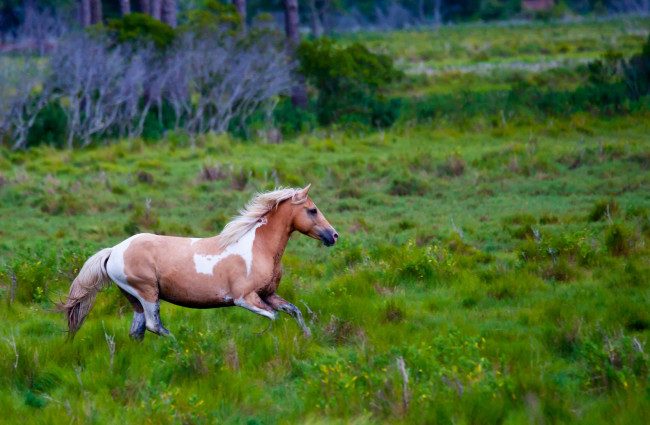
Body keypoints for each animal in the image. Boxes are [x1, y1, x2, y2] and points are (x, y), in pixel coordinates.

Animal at [62, 184, 336, 340]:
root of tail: (114, 251)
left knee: (137, 331)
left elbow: (295, 311)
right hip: (147, 292)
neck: (258, 247)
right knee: (154, 326)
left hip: (134, 298)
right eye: (312, 210)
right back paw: (181, 344)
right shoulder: (244, 298)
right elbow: (273, 318)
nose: (333, 236)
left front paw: (307, 337)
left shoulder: (268, 294)